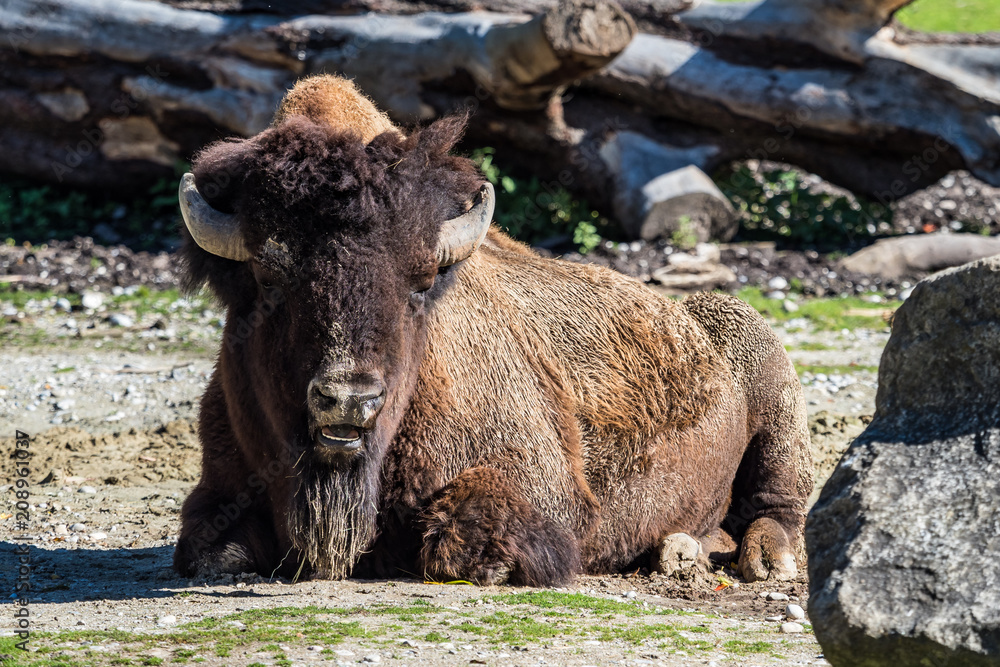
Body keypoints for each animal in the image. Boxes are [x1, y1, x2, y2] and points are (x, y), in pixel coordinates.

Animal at [174, 75, 812, 586]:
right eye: (267, 273)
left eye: (421, 281)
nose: (349, 399)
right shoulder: (218, 492)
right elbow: (211, 552)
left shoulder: (544, 492)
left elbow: (463, 542)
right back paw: (678, 550)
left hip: (772, 387)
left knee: (779, 506)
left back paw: (756, 559)